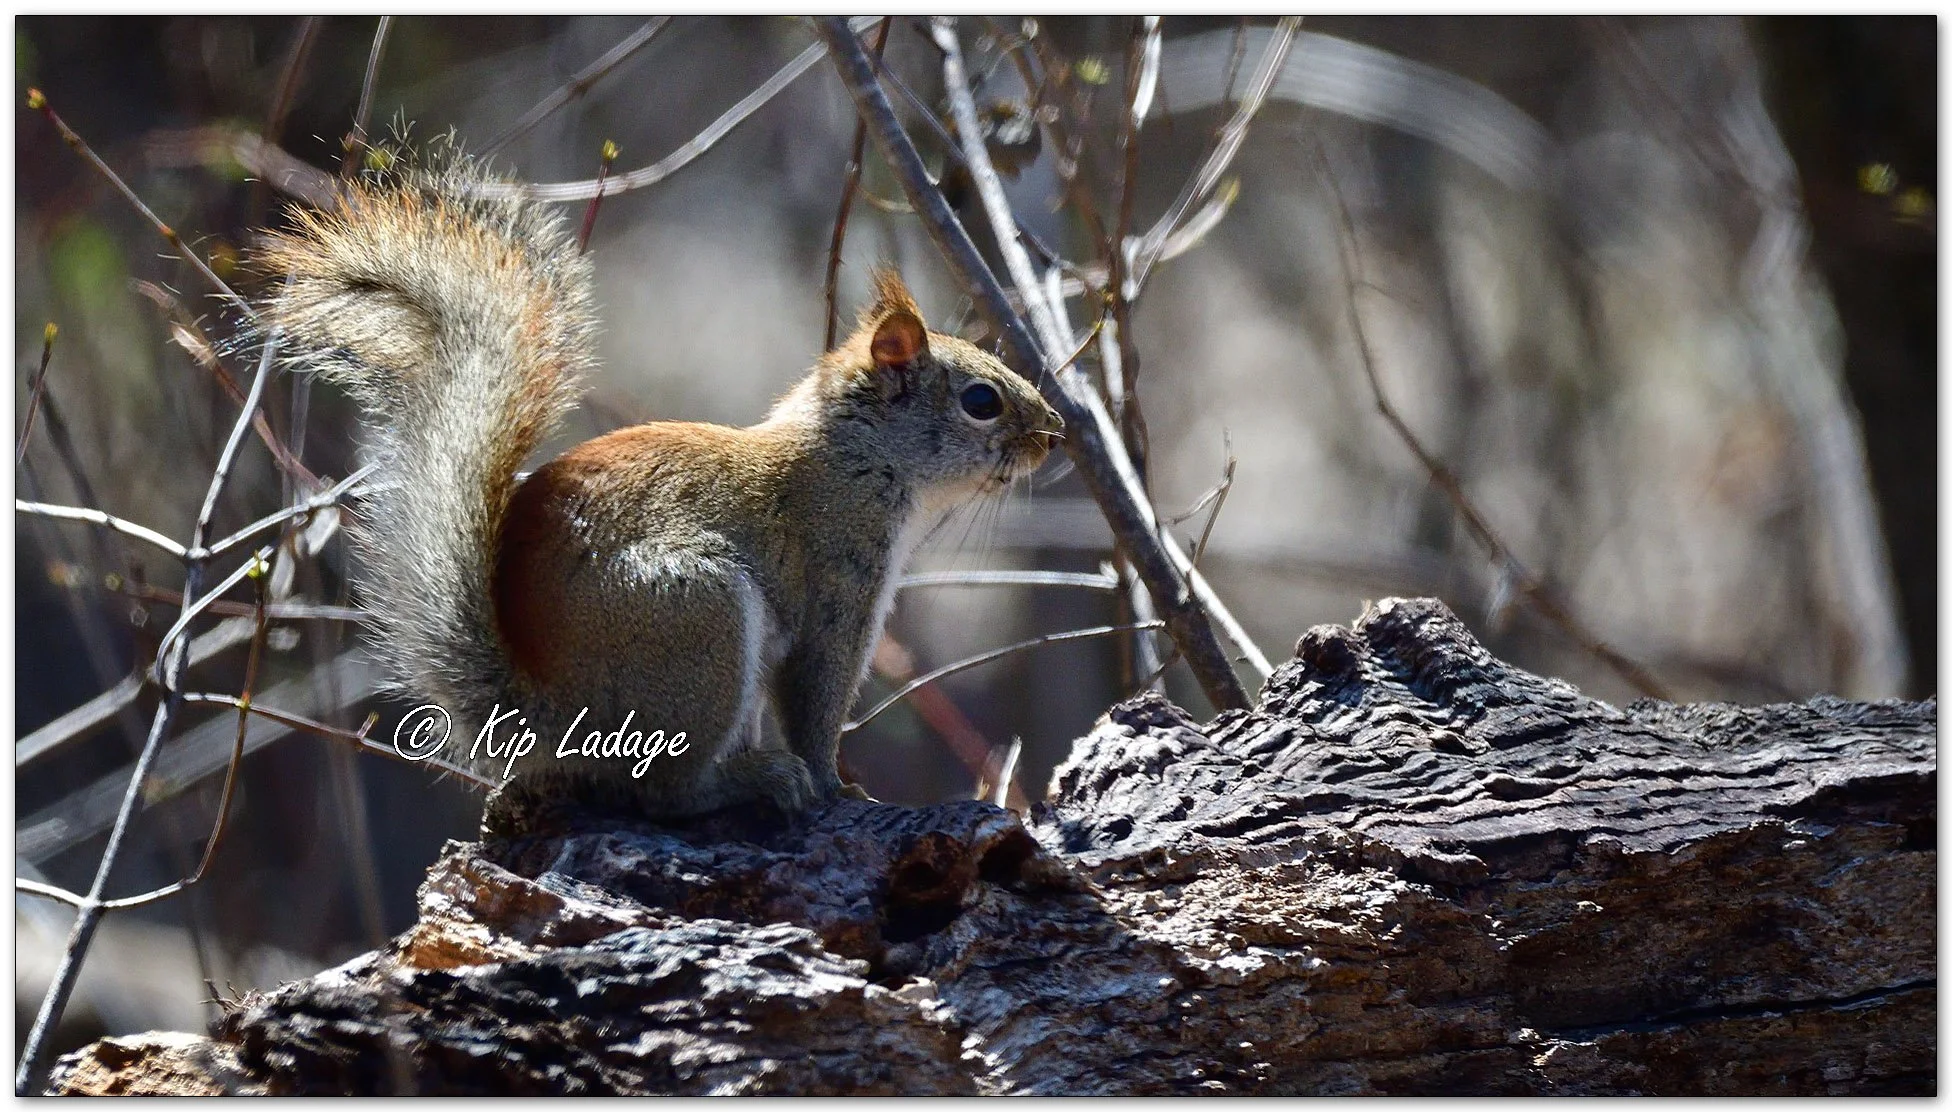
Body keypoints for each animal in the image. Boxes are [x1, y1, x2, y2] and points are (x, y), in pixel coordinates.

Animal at [255, 152, 1062, 824]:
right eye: (982, 400)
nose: (1054, 433)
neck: (849, 457)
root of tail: (547, 713)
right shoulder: (838, 582)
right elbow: (815, 699)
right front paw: (840, 788)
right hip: (697, 623)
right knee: (667, 793)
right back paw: (755, 781)